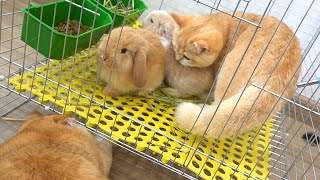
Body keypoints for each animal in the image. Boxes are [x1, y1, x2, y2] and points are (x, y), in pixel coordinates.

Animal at [171, 13, 302, 138]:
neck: (229, 27)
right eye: (174, 47)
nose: (176, 59)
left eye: (186, 57)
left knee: (217, 104)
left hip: (227, 71)